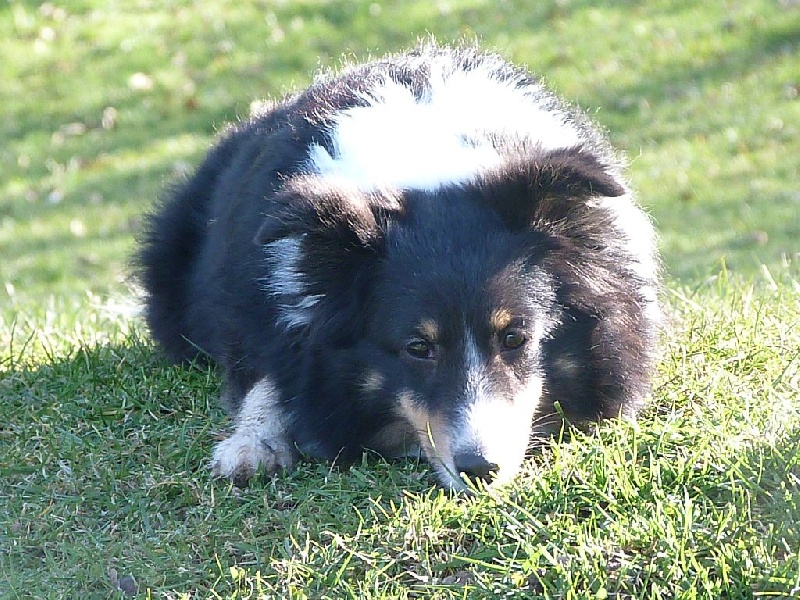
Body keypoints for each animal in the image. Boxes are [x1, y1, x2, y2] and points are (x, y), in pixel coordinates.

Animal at [139, 43, 664, 492]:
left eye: (515, 338)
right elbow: (267, 376)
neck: (425, 159)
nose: (481, 471)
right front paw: (250, 448)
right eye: (417, 348)